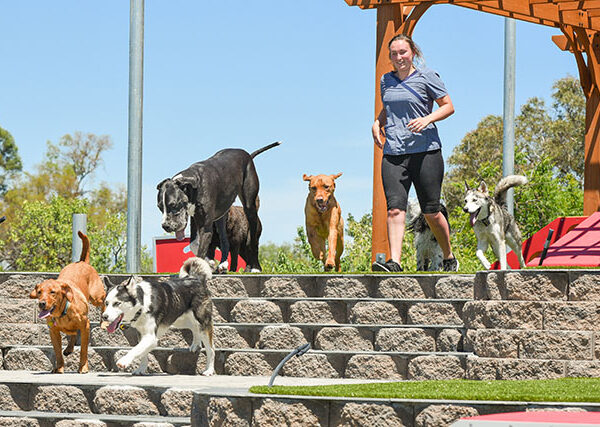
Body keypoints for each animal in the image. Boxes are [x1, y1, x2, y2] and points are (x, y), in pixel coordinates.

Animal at [28, 231, 105, 374]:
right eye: (39, 292)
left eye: (53, 292)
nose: (41, 303)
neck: (63, 311)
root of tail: (81, 261)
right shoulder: (53, 332)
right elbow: (58, 352)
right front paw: (59, 368)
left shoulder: (85, 325)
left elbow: (84, 350)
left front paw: (83, 367)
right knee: (73, 335)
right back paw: (69, 348)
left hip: (96, 297)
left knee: (104, 302)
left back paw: (104, 321)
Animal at [156, 142, 280, 272]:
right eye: (159, 207)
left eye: (174, 205)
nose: (165, 226)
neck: (193, 185)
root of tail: (247, 154)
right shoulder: (195, 220)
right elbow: (195, 245)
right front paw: (209, 262)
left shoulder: (205, 227)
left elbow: (201, 248)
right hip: (221, 216)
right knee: (225, 241)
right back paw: (223, 263)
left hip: (249, 208)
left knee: (253, 241)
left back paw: (255, 268)